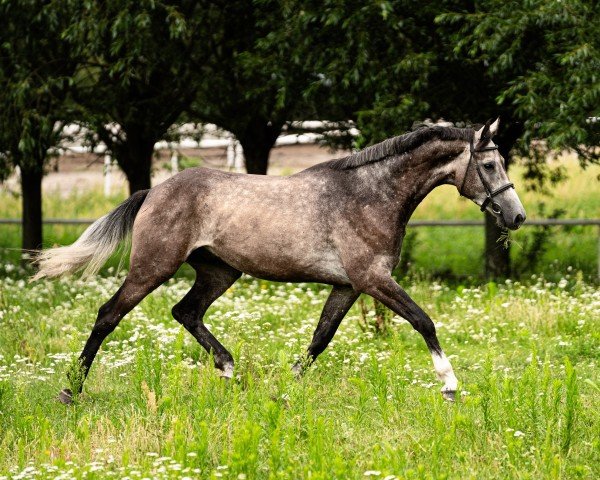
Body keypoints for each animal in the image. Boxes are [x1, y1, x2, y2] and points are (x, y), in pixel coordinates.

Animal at [35, 118, 528, 404]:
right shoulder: (372, 279)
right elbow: (424, 321)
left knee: (185, 311)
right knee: (109, 314)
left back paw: (231, 371)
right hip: (153, 268)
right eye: (489, 166)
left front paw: (284, 390)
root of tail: (154, 190)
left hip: (220, 271)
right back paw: (71, 389)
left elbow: (320, 339)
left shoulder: (348, 286)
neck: (370, 194)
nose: (517, 216)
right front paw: (450, 385)